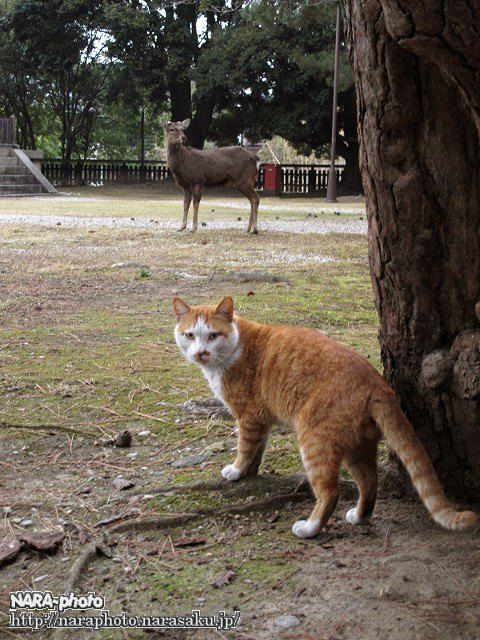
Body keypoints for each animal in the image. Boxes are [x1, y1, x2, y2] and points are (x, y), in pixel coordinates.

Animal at [172, 298, 476, 536]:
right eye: (190, 335)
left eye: (213, 335)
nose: (200, 352)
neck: (236, 347)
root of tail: (376, 383)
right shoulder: (262, 421)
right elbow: (257, 449)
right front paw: (250, 472)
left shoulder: (248, 417)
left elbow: (245, 448)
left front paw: (236, 471)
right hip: (357, 447)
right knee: (370, 481)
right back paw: (360, 516)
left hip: (314, 440)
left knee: (330, 492)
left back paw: (310, 528)